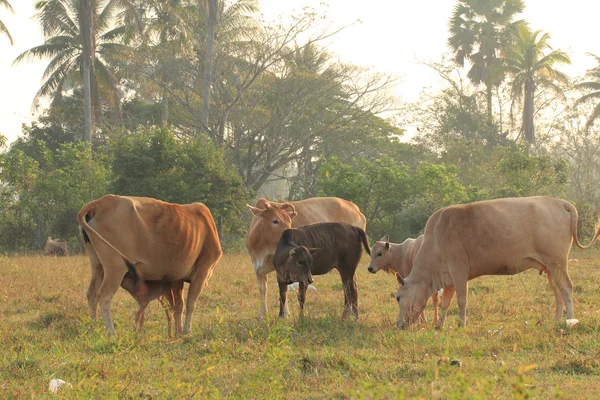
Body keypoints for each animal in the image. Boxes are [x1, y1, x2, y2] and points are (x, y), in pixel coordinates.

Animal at [77, 194, 223, 334]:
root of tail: (101, 202)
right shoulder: (202, 272)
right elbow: (191, 303)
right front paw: (187, 331)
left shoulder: (177, 277)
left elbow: (178, 306)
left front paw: (179, 332)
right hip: (116, 267)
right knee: (104, 296)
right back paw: (112, 333)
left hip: (98, 265)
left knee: (92, 295)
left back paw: (94, 327)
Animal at [394, 195, 600, 330]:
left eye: (398, 297)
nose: (399, 324)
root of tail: (561, 203)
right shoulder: (448, 278)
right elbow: (445, 303)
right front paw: (440, 325)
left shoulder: (459, 270)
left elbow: (461, 299)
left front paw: (461, 324)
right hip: (550, 267)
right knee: (557, 292)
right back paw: (556, 320)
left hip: (557, 263)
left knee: (566, 288)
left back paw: (569, 320)